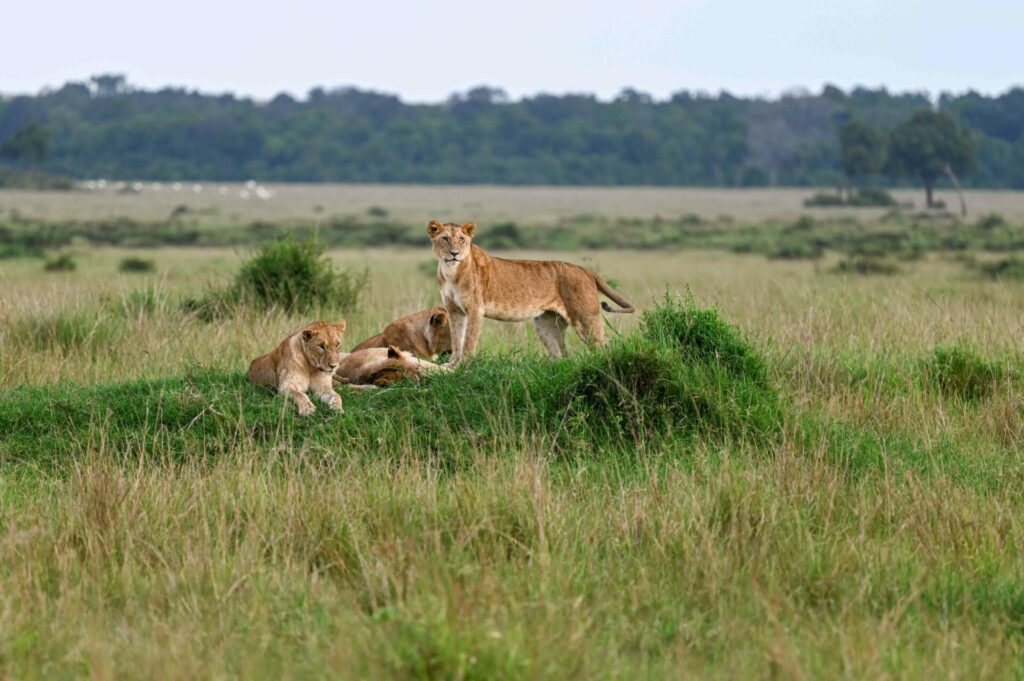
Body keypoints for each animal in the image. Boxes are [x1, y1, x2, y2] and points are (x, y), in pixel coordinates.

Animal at [427, 220, 635, 364]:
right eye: (445, 238)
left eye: (462, 239)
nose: (454, 253)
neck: (451, 271)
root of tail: (585, 270)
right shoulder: (454, 310)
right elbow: (457, 339)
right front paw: (452, 365)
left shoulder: (475, 309)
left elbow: (469, 341)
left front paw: (464, 366)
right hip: (546, 325)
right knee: (563, 356)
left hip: (585, 318)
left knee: (603, 345)